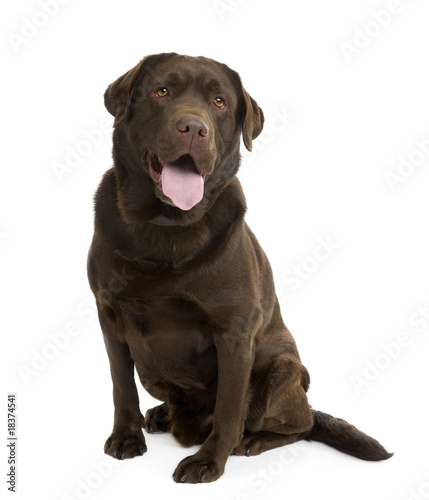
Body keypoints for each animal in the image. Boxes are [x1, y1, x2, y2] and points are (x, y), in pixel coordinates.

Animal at [88, 52, 392, 482]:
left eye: (219, 102)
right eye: (161, 91)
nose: (194, 128)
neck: (165, 226)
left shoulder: (234, 331)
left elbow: (230, 408)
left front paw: (209, 461)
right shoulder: (108, 314)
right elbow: (121, 385)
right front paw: (127, 437)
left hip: (284, 368)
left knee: (301, 425)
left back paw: (253, 441)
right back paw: (163, 415)